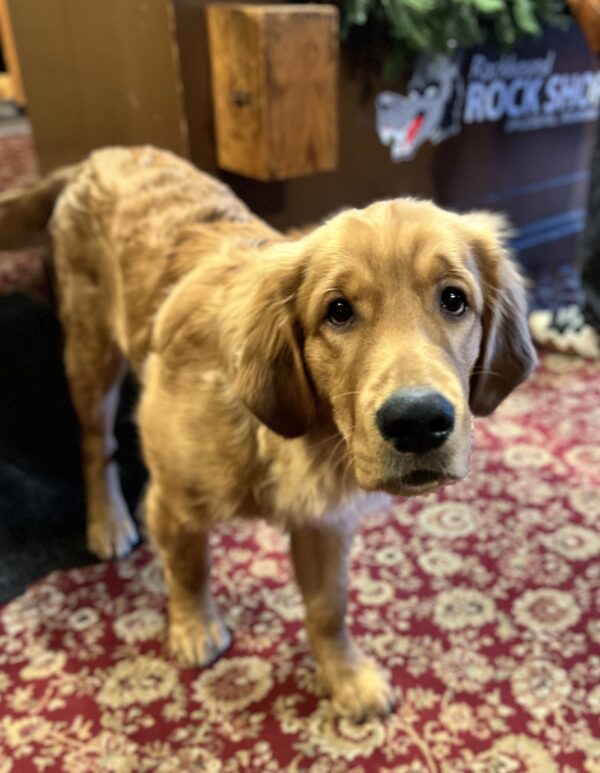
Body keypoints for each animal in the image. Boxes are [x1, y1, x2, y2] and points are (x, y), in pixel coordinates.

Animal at [0, 148, 536, 720]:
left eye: (454, 299)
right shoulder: (173, 501)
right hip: (91, 355)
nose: (417, 421)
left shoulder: (325, 522)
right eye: (338, 311)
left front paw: (345, 676)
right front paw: (194, 626)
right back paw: (107, 521)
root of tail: (100, 157)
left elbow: (329, 609)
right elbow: (189, 568)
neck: (308, 439)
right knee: (95, 445)